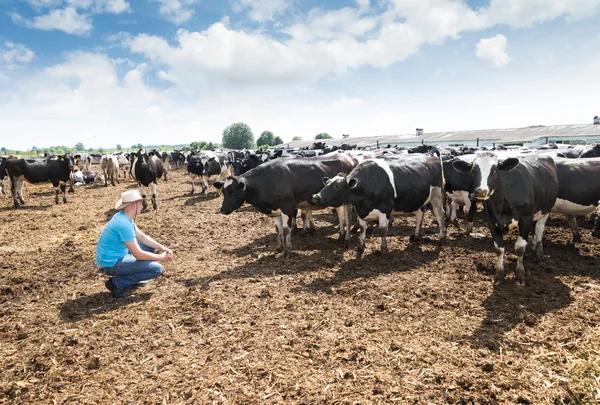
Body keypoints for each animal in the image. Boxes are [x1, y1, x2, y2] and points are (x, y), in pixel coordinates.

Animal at [214, 153, 356, 258]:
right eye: (224, 192)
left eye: (233, 192)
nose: (223, 210)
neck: (265, 182)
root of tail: (349, 158)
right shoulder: (275, 210)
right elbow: (278, 230)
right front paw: (279, 247)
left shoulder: (287, 207)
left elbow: (287, 229)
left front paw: (288, 251)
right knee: (341, 216)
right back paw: (341, 235)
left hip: (346, 201)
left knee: (347, 218)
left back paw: (346, 239)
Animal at [312, 153, 442, 258]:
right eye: (327, 183)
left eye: (337, 186)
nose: (316, 196)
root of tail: (431, 156)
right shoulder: (361, 211)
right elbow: (362, 228)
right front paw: (361, 247)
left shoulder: (385, 210)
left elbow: (383, 230)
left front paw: (383, 250)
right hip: (419, 200)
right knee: (419, 216)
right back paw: (416, 236)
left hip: (437, 195)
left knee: (439, 215)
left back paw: (441, 238)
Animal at [452, 152, 560, 284]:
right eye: (473, 170)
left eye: (494, 170)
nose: (481, 192)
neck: (502, 204)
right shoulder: (491, 221)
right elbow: (499, 249)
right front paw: (499, 274)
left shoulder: (525, 219)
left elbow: (519, 248)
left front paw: (520, 274)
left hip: (546, 210)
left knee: (539, 230)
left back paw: (539, 256)